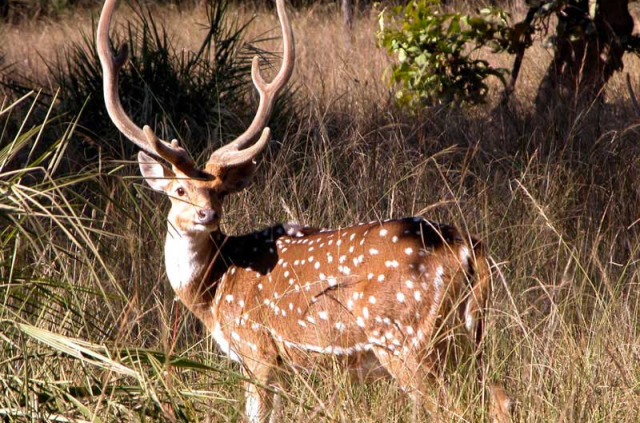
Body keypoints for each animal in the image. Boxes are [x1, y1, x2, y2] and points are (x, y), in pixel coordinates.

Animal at [99, 0, 510, 422]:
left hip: (406, 339)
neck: (213, 290)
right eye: (180, 190)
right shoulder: (280, 365)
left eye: (220, 193)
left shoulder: (257, 348)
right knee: (499, 397)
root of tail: (468, 249)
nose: (207, 216)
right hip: (466, 340)